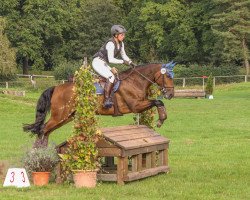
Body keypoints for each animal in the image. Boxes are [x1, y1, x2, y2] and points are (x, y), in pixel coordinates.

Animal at [24, 63, 175, 148]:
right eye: (168, 76)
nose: (171, 94)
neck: (135, 81)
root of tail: (56, 87)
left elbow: (157, 102)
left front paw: (162, 118)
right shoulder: (135, 105)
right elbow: (158, 101)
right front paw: (161, 119)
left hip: (66, 117)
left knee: (46, 131)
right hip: (60, 115)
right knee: (42, 129)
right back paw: (37, 153)